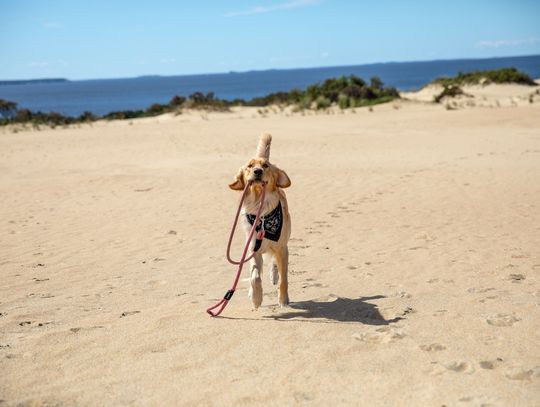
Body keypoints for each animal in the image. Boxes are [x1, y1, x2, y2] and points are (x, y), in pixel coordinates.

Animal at [230, 134, 294, 310]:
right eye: (250, 166)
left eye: (265, 166)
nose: (257, 171)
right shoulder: (253, 249)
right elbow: (255, 276)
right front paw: (256, 298)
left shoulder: (282, 248)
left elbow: (284, 279)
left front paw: (283, 300)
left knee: (275, 264)